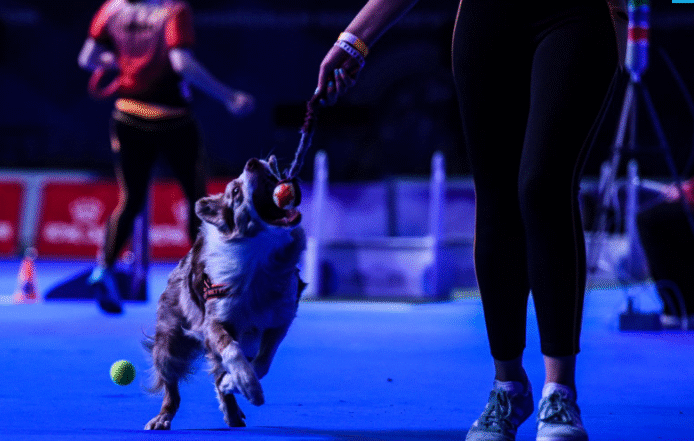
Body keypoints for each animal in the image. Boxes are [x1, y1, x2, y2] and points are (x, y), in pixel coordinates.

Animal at [144, 156, 306, 430]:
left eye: (271, 170)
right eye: (235, 191)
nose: (253, 162)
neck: (259, 254)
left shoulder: (280, 319)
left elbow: (263, 362)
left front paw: (237, 383)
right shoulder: (214, 320)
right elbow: (231, 351)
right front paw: (248, 385)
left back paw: (232, 411)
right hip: (169, 341)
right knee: (171, 386)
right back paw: (162, 417)